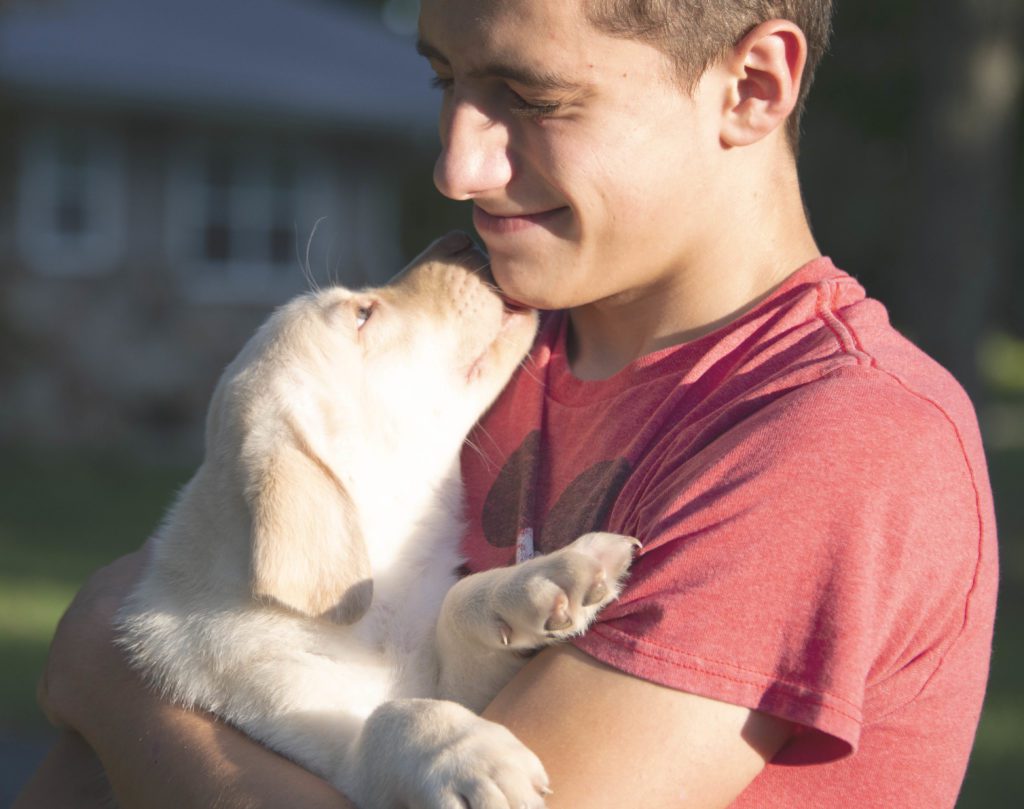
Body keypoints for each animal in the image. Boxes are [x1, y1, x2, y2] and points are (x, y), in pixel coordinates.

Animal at [116, 231, 634, 806]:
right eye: (362, 314)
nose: (458, 238)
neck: (385, 601)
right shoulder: (306, 736)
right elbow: (384, 721)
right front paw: (469, 755)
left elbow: (457, 606)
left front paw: (543, 581)